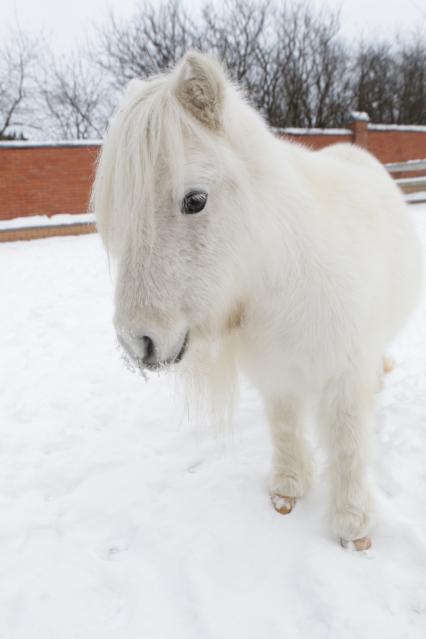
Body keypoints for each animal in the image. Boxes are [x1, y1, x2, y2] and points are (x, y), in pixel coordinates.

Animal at [93, 52, 422, 552]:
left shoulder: (344, 378)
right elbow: (284, 426)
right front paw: (287, 490)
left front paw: (353, 528)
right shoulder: (276, 373)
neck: (286, 276)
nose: (138, 343)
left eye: (195, 199)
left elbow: (348, 445)